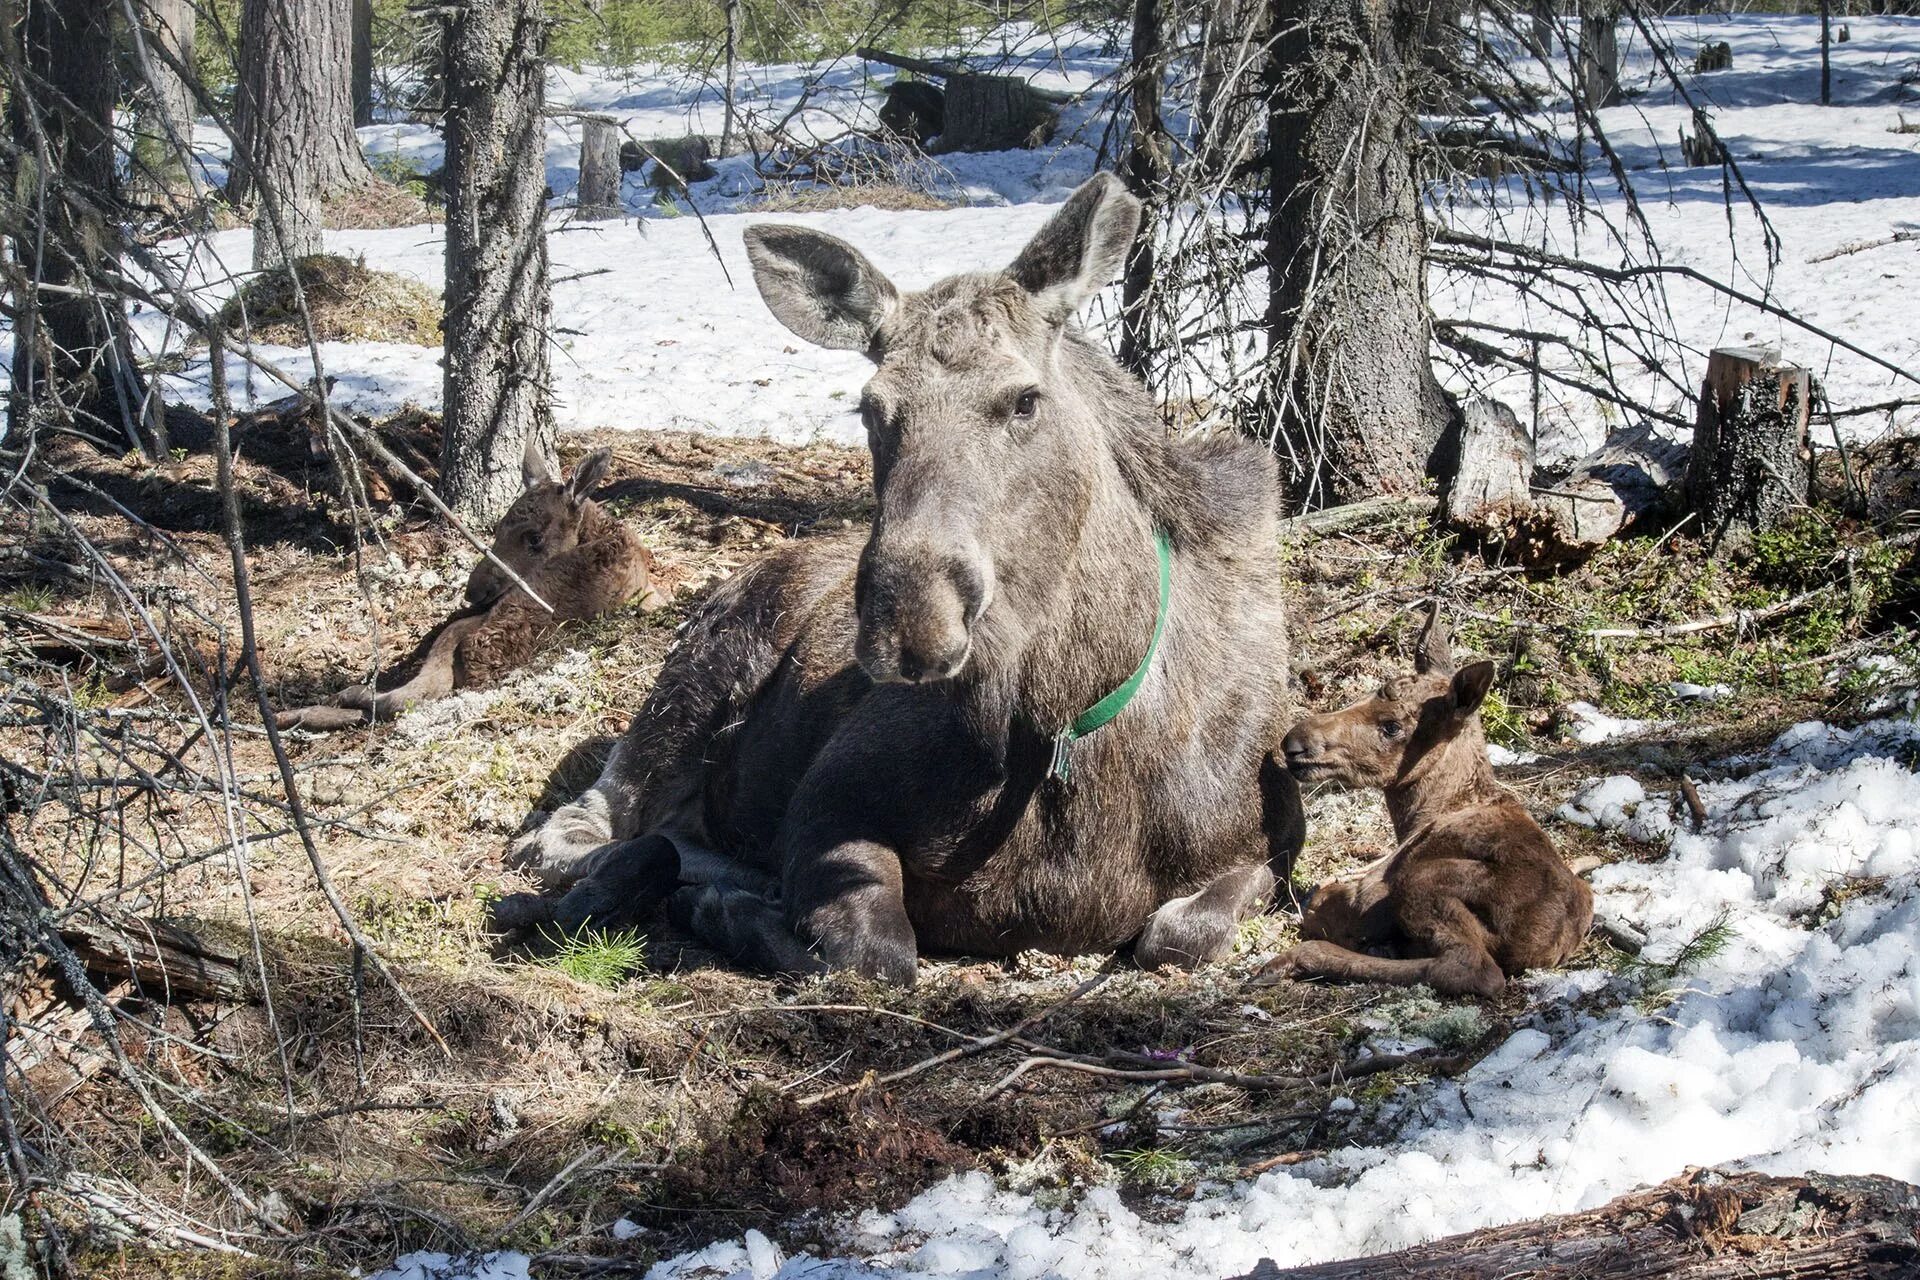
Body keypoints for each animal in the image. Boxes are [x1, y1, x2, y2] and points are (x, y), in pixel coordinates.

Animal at [274, 449, 668, 729]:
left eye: (534, 537)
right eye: (498, 527)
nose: (474, 592)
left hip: (486, 627)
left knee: (404, 697)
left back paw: (322, 704)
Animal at [495, 177, 1305, 982]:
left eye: (1025, 399)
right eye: (870, 408)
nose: (912, 618)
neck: (1070, 721)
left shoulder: (1271, 843)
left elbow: (1181, 933)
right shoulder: (829, 801)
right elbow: (874, 952)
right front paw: (735, 910)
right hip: (687, 693)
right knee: (575, 827)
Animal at [1259, 610, 1589, 997]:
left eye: (1391, 726)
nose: (1294, 742)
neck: (1417, 816)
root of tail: (1549, 936)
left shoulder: (1367, 896)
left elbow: (1320, 904)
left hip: (1423, 882)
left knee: (1474, 969)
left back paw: (1298, 959)